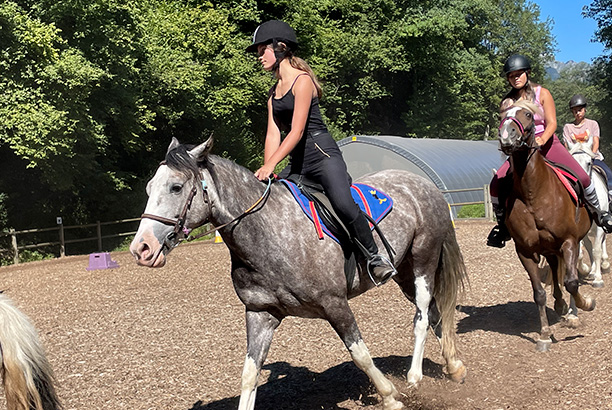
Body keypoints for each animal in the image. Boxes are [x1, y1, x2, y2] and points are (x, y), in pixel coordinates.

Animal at [126, 139, 466, 410]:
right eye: (148, 189)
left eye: (176, 187)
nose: (141, 248)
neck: (267, 234)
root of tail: (422, 183)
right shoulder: (261, 313)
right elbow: (249, 374)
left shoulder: (335, 304)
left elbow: (360, 355)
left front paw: (390, 396)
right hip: (403, 272)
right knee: (435, 314)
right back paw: (454, 367)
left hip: (423, 260)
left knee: (422, 316)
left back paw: (414, 377)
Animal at [500, 101, 596, 350]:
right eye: (502, 114)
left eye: (527, 115)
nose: (506, 137)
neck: (534, 193)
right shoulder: (525, 251)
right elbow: (539, 293)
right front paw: (544, 334)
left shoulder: (569, 242)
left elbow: (572, 282)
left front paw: (586, 303)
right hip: (548, 248)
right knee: (554, 268)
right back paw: (561, 306)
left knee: (569, 273)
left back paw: (571, 311)